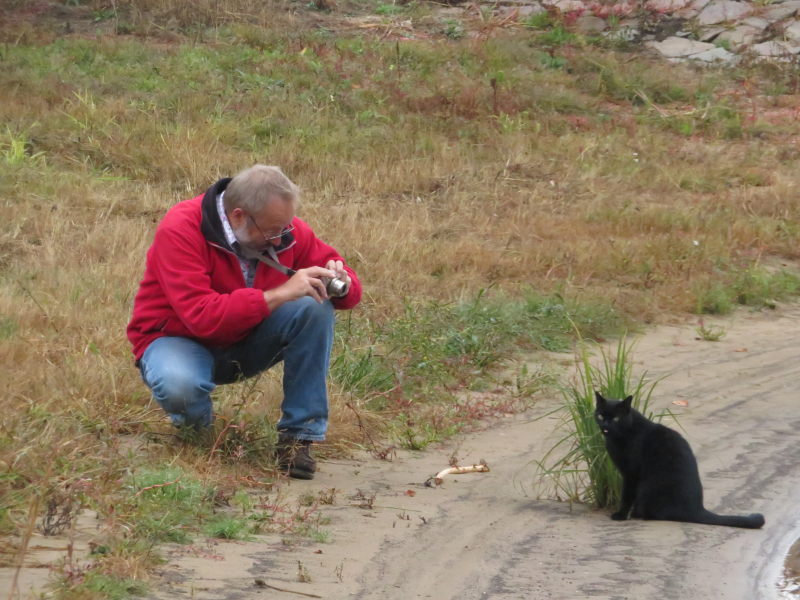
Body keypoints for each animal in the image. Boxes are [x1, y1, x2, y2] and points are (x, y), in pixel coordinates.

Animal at [596, 394, 764, 528]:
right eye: (600, 416)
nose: (605, 425)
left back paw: (640, 514)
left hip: (648, 486)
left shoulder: (631, 474)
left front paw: (620, 515)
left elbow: (627, 495)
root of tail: (697, 508)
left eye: (616, 418)